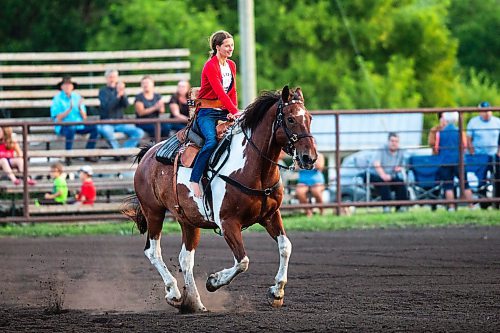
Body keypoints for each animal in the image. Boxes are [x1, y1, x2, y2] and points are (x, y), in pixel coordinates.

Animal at [123, 85, 316, 312]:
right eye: (290, 119)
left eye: (310, 118)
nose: (310, 157)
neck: (255, 168)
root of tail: (148, 153)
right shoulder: (227, 223)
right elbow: (243, 261)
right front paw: (214, 281)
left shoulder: (270, 215)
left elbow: (285, 246)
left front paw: (277, 292)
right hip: (154, 212)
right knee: (153, 251)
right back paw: (174, 292)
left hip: (188, 220)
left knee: (185, 259)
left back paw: (195, 302)